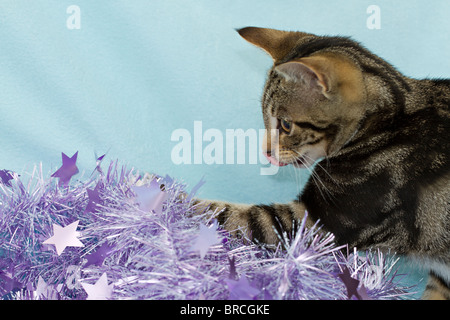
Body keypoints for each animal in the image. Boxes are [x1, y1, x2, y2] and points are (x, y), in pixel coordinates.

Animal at [201, 26, 450, 298]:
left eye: (285, 124)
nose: (265, 152)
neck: (388, 122)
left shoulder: (318, 222)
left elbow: (228, 215)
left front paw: (181, 200)